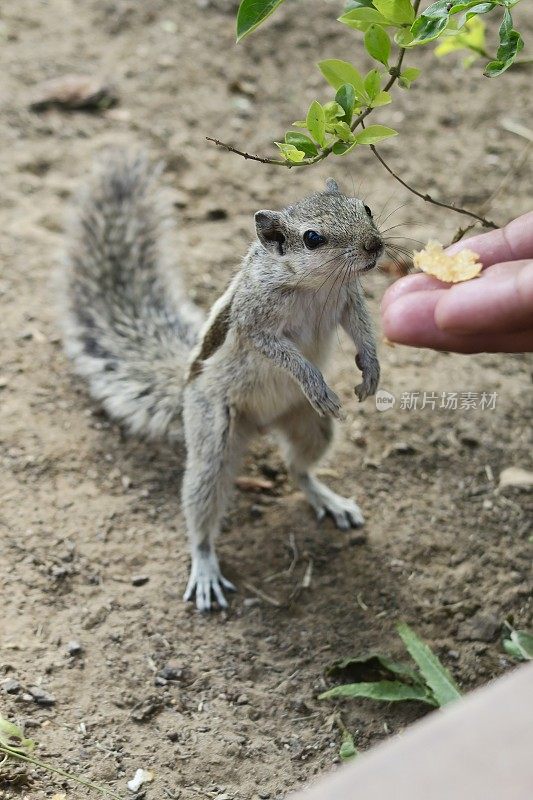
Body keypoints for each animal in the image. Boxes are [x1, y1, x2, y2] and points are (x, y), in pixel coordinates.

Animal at [61, 152, 382, 612]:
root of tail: (261, 425)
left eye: (366, 208)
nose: (375, 246)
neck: (315, 285)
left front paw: (371, 370)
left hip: (309, 426)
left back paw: (328, 499)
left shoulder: (348, 300)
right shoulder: (254, 322)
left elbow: (362, 330)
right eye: (312, 238)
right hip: (212, 432)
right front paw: (316, 382)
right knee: (202, 505)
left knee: (299, 470)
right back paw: (205, 566)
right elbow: (280, 352)